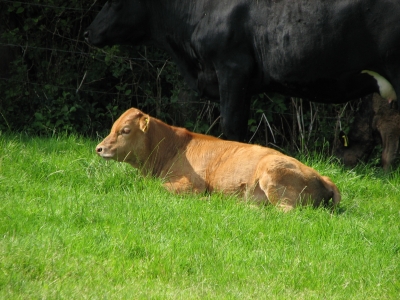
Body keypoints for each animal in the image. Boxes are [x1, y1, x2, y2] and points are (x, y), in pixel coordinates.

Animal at [97, 108, 340, 211]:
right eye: (112, 127)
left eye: (125, 130)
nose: (99, 148)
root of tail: (325, 178)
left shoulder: (191, 184)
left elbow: (158, 188)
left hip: (271, 172)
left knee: (283, 211)